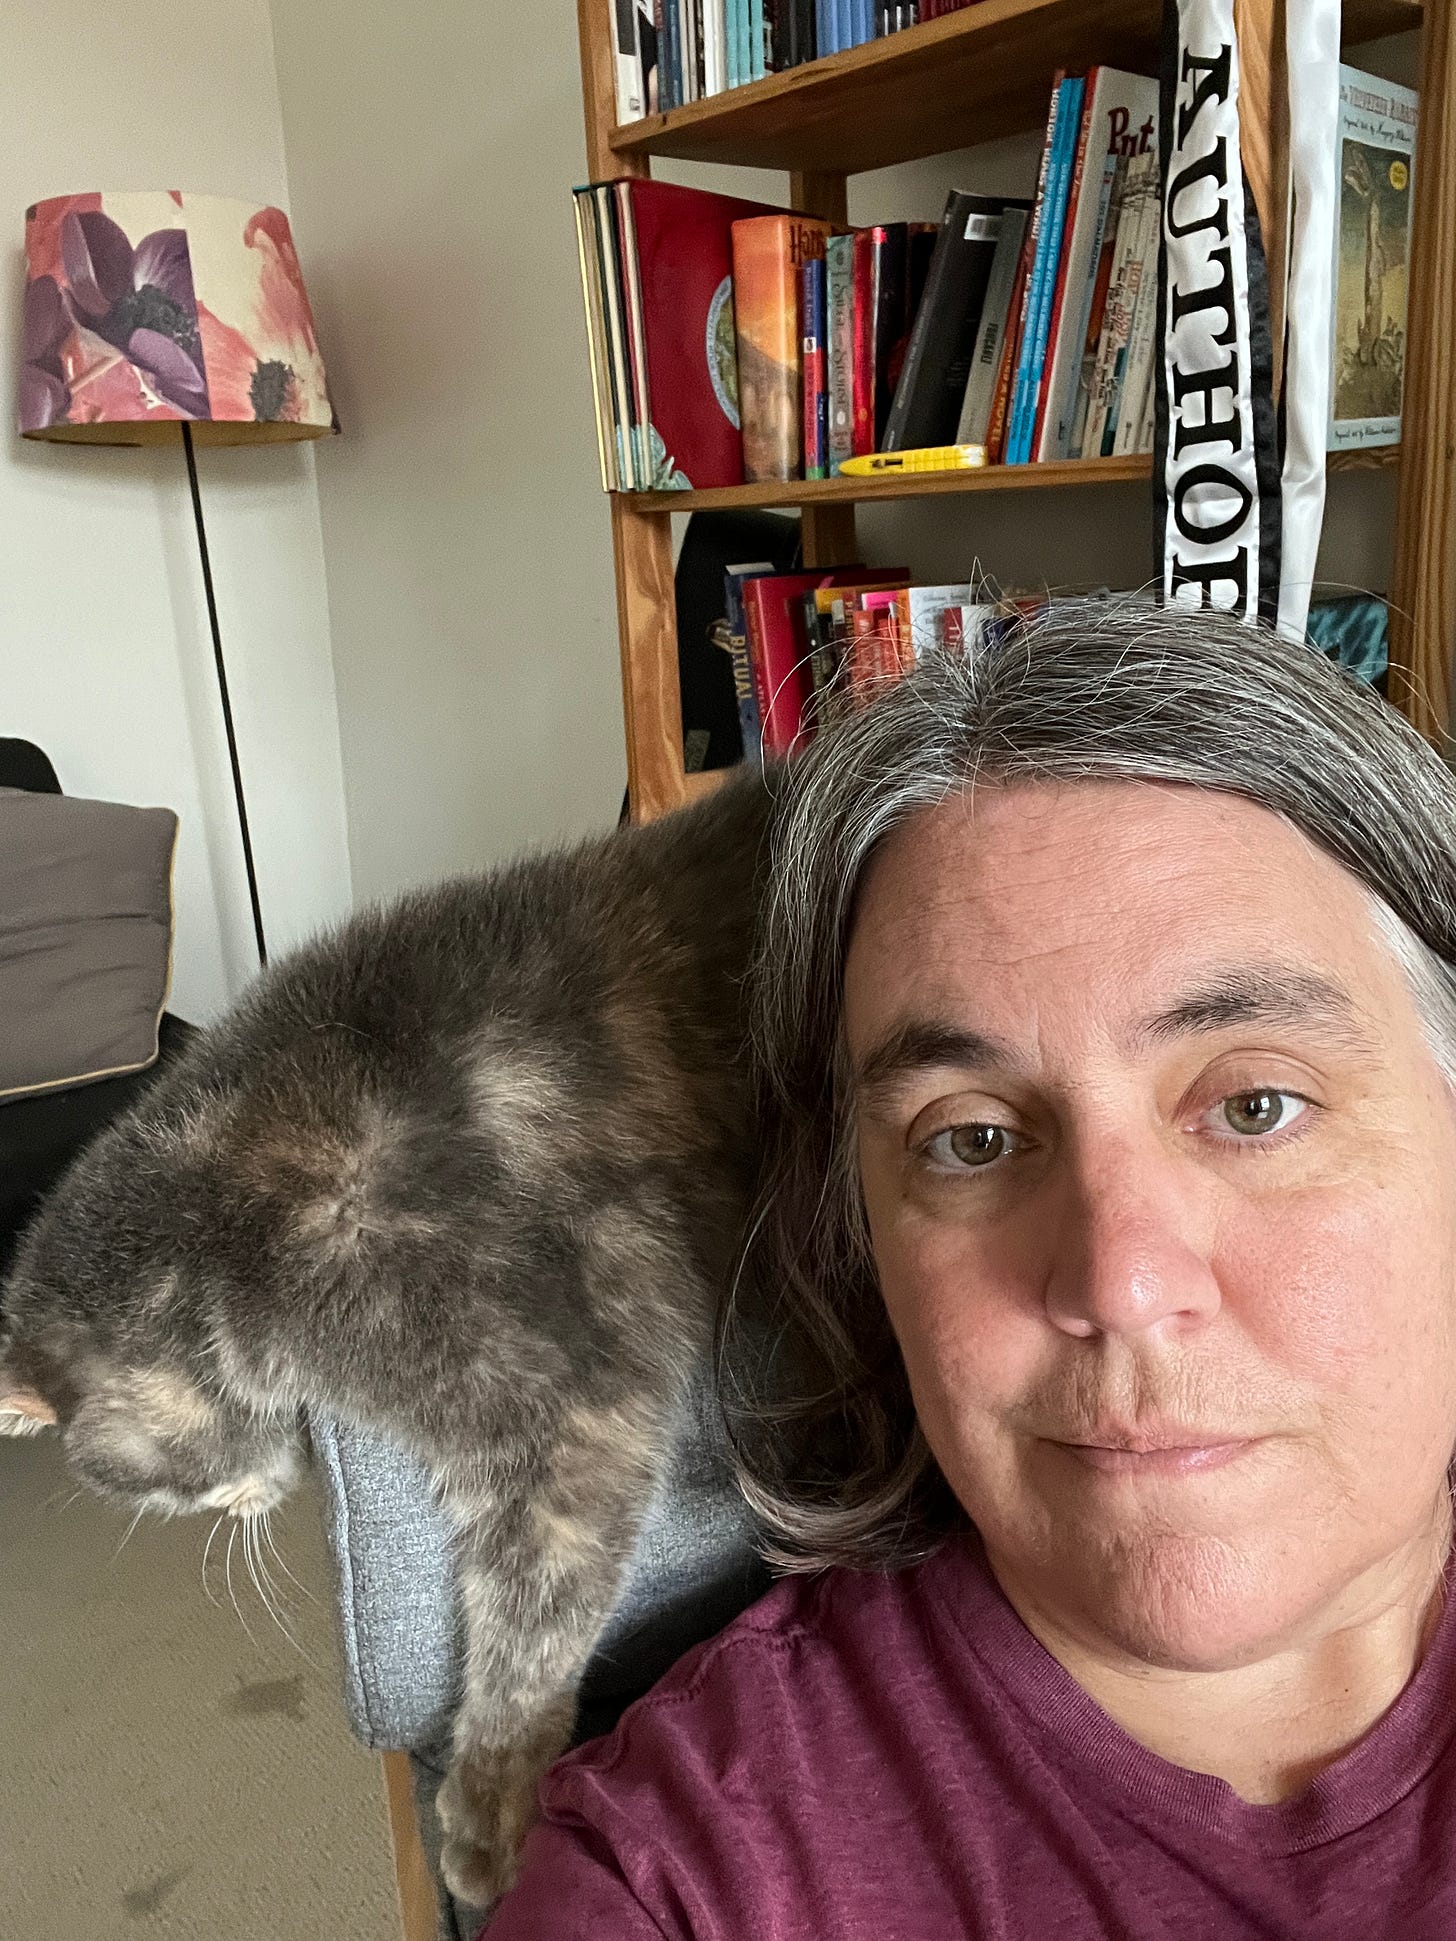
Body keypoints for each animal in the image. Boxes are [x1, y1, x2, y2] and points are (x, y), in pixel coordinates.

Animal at [0, 764, 776, 1902]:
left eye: (164, 1493)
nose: (242, 1506)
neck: (219, 1220)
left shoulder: (572, 1403)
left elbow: (529, 1627)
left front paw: (489, 1819)